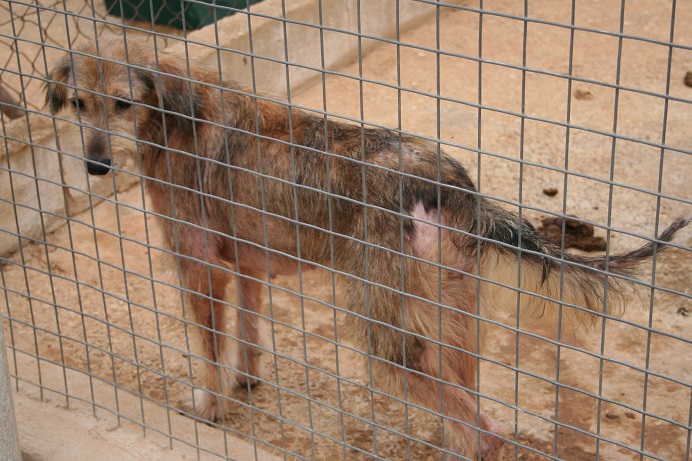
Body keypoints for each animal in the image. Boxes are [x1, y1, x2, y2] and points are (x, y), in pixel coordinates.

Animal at [45, 36, 688, 460]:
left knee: (484, 432)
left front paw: (211, 406)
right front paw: (246, 381)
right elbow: (248, 335)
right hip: (454, 311)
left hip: (385, 328)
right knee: (469, 403)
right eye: (79, 103)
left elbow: (208, 351)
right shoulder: (248, 266)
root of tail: (447, 181)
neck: (175, 113)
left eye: (124, 103)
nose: (95, 167)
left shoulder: (199, 270)